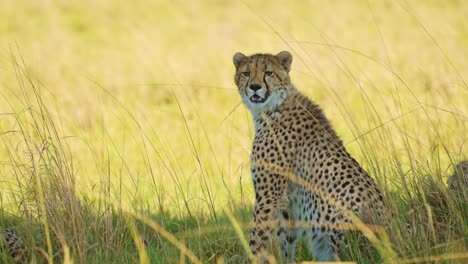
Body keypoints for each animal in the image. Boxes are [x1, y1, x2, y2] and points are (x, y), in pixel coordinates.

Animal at [232, 51, 386, 262]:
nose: (255, 86)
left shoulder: (269, 197)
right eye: (246, 73)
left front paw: (251, 259)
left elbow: (257, 239)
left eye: (268, 72)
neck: (274, 107)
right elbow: (285, 242)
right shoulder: (288, 202)